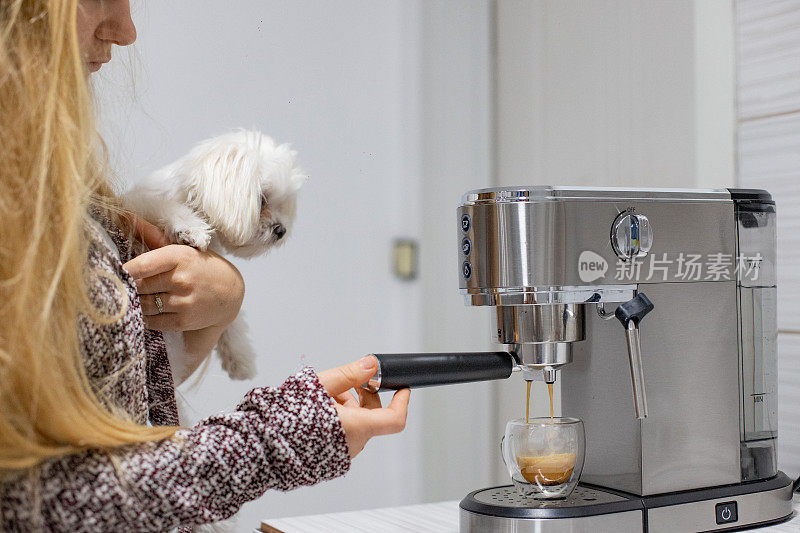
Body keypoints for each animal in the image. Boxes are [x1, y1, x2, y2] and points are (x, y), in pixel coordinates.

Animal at [125, 131, 306, 384]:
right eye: (261, 199)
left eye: (284, 203)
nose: (281, 230)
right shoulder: (140, 206)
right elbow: (164, 207)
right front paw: (191, 228)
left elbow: (233, 319)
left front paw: (240, 356)